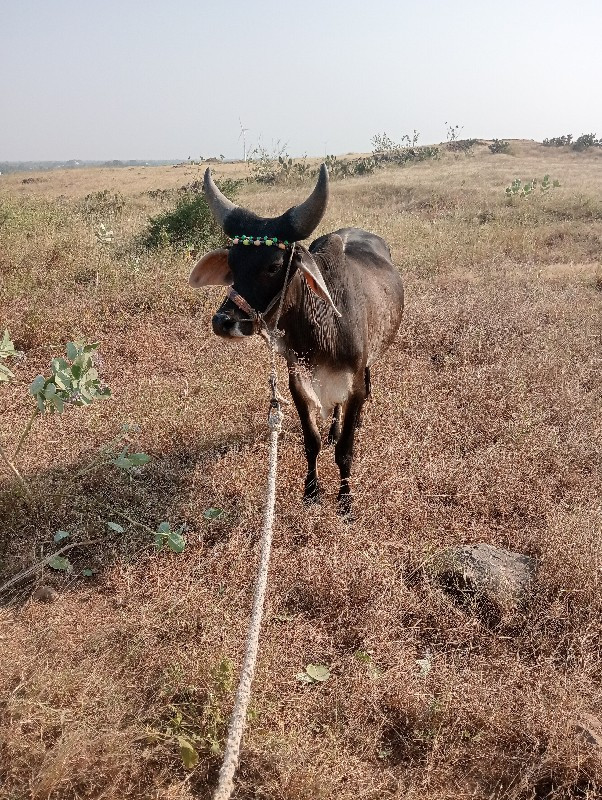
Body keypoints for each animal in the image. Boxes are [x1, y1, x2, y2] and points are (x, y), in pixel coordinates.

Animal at [189, 164, 404, 512]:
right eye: (232, 263)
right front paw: (311, 491)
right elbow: (311, 441)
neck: (321, 329)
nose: (223, 322)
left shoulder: (354, 383)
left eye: (274, 266)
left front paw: (345, 501)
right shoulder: (298, 383)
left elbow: (345, 451)